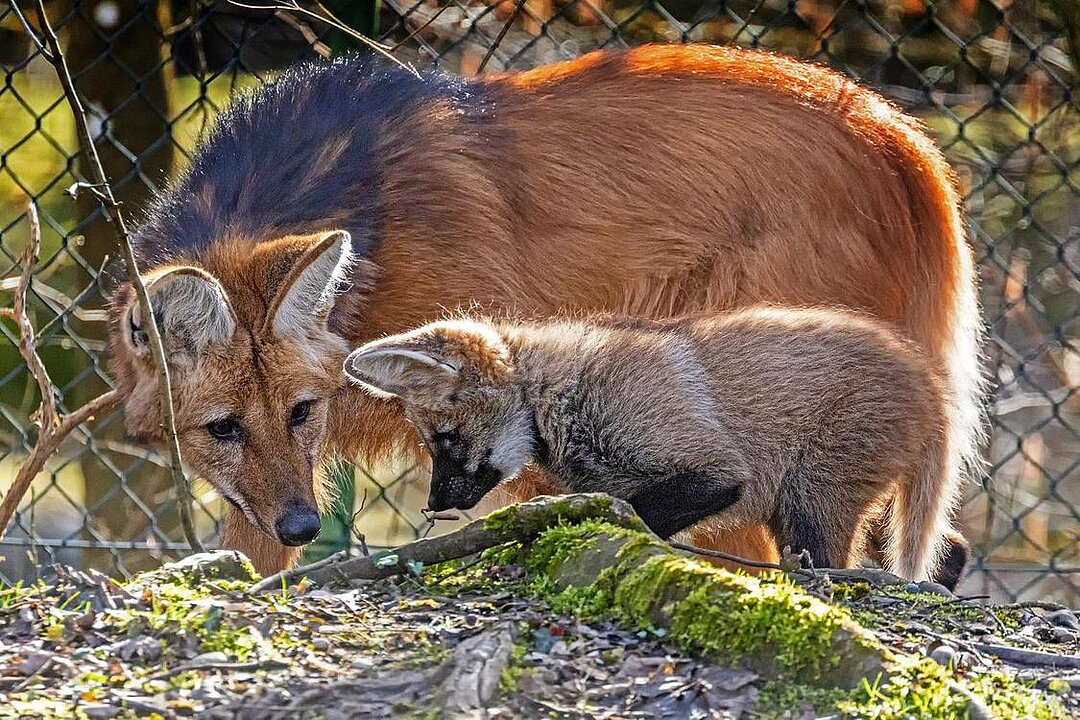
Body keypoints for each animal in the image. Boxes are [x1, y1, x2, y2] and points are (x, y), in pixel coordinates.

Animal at [111, 42, 989, 582]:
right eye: (221, 429)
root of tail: (902, 136)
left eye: (301, 410)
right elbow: (247, 556)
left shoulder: (519, 411)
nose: (300, 527)